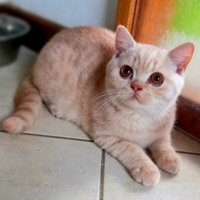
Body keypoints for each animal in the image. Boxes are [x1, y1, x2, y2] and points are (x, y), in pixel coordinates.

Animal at [2, 25, 195, 187]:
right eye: (126, 71)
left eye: (157, 79)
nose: (136, 86)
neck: (140, 117)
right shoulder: (108, 137)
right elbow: (132, 149)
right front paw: (147, 168)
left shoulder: (163, 127)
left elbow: (163, 142)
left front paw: (170, 158)